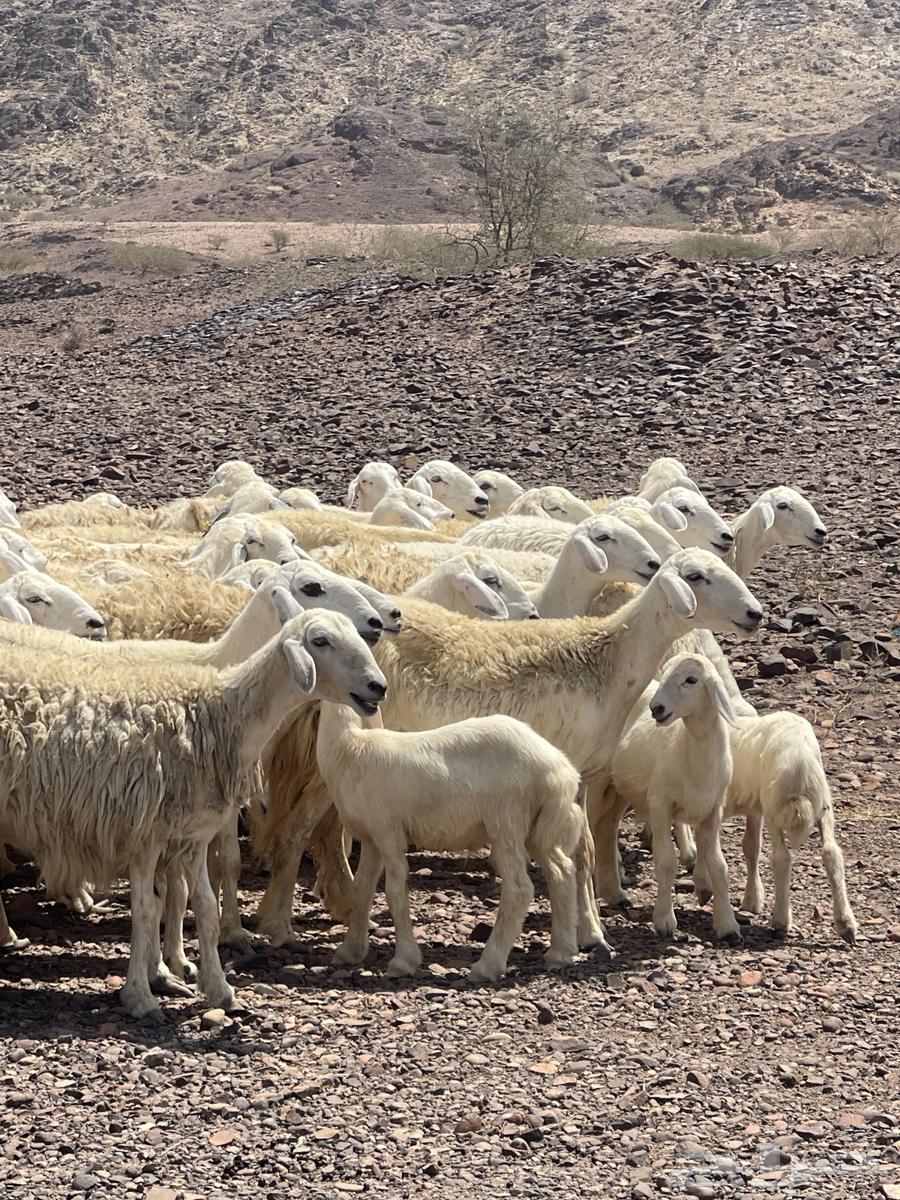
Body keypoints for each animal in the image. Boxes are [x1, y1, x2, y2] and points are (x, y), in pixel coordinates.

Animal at [0, 609, 387, 1017]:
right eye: (320, 641)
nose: (378, 687)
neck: (218, 716)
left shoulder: (194, 834)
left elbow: (203, 908)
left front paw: (218, 989)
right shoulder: (144, 833)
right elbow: (146, 911)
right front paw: (140, 995)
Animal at [318, 705, 593, 980]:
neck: (351, 749)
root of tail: (561, 771)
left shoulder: (388, 831)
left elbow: (394, 891)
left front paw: (403, 961)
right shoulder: (370, 838)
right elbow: (362, 889)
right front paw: (350, 951)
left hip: (507, 820)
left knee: (519, 889)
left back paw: (488, 966)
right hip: (536, 829)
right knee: (561, 872)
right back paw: (561, 953)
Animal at [609, 654, 741, 942]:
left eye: (691, 680)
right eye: (665, 673)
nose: (656, 709)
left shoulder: (713, 810)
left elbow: (719, 864)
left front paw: (727, 924)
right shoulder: (660, 804)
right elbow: (666, 862)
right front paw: (665, 920)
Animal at [690, 707, 857, 944]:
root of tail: (800, 759)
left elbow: (702, 840)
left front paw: (703, 885)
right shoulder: (751, 808)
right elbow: (750, 847)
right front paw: (752, 899)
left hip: (774, 808)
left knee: (782, 858)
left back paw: (781, 920)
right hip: (822, 804)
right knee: (832, 853)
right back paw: (846, 923)